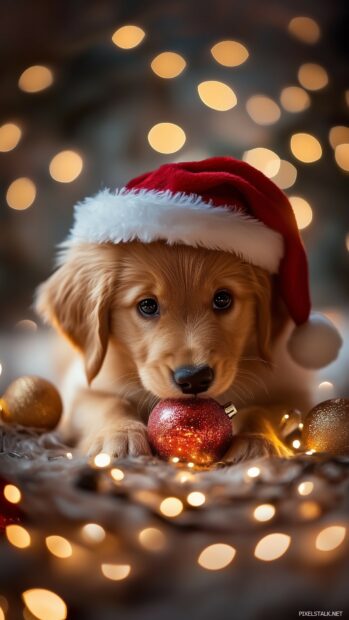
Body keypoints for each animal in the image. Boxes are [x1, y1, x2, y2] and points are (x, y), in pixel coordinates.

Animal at [35, 240, 308, 462]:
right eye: (147, 305)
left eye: (223, 299)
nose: (194, 378)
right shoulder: (80, 389)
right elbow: (109, 402)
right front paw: (120, 434)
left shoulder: (294, 389)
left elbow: (262, 409)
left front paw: (257, 440)